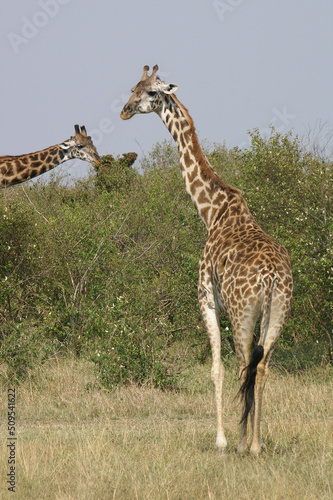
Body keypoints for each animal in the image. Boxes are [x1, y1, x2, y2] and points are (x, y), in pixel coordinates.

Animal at [120, 64, 292, 456]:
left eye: (151, 93)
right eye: (133, 88)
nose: (124, 110)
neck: (211, 211)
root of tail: (272, 278)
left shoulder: (206, 298)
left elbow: (216, 369)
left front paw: (222, 440)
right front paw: (239, 439)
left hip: (244, 312)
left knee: (246, 365)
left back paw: (245, 445)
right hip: (278, 313)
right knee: (262, 368)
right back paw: (256, 444)